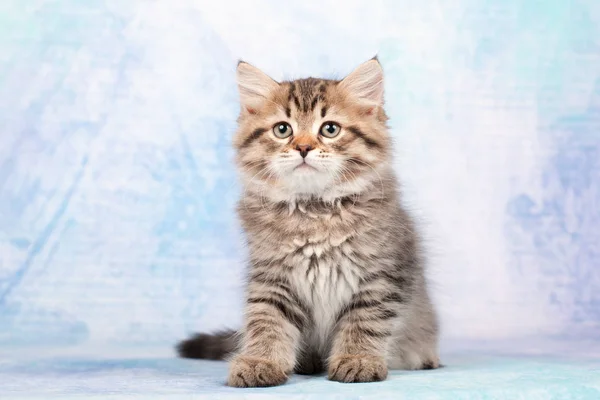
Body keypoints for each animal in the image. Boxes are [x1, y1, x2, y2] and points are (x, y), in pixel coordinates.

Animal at [176, 57, 438, 386]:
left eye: (330, 129)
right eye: (282, 129)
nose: (302, 147)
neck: (314, 211)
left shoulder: (381, 276)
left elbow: (364, 321)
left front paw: (357, 359)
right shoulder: (272, 277)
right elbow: (266, 321)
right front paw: (261, 362)